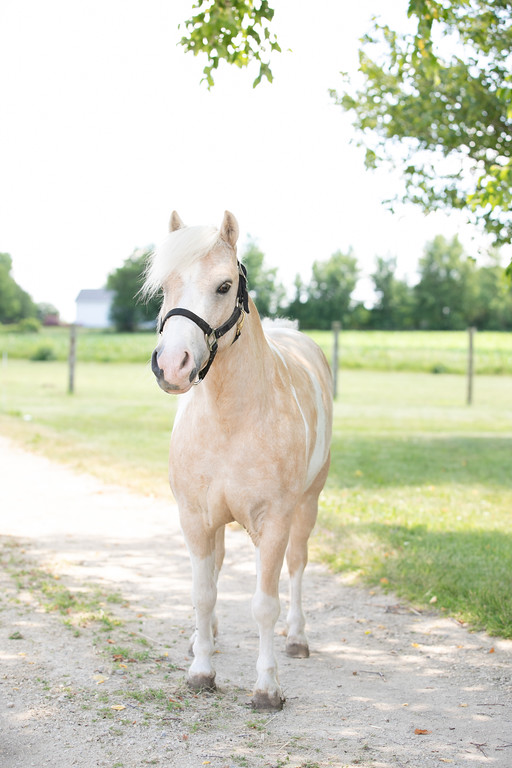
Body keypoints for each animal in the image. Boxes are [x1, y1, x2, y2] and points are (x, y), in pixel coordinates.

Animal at [145, 211, 333, 711]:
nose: (172, 366)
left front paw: (267, 688)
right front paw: (201, 668)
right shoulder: (195, 517)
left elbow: (265, 604)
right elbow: (203, 592)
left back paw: (297, 636)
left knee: (297, 565)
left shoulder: (275, 521)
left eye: (225, 285)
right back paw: (203, 637)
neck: (232, 419)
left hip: (308, 505)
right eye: (166, 284)